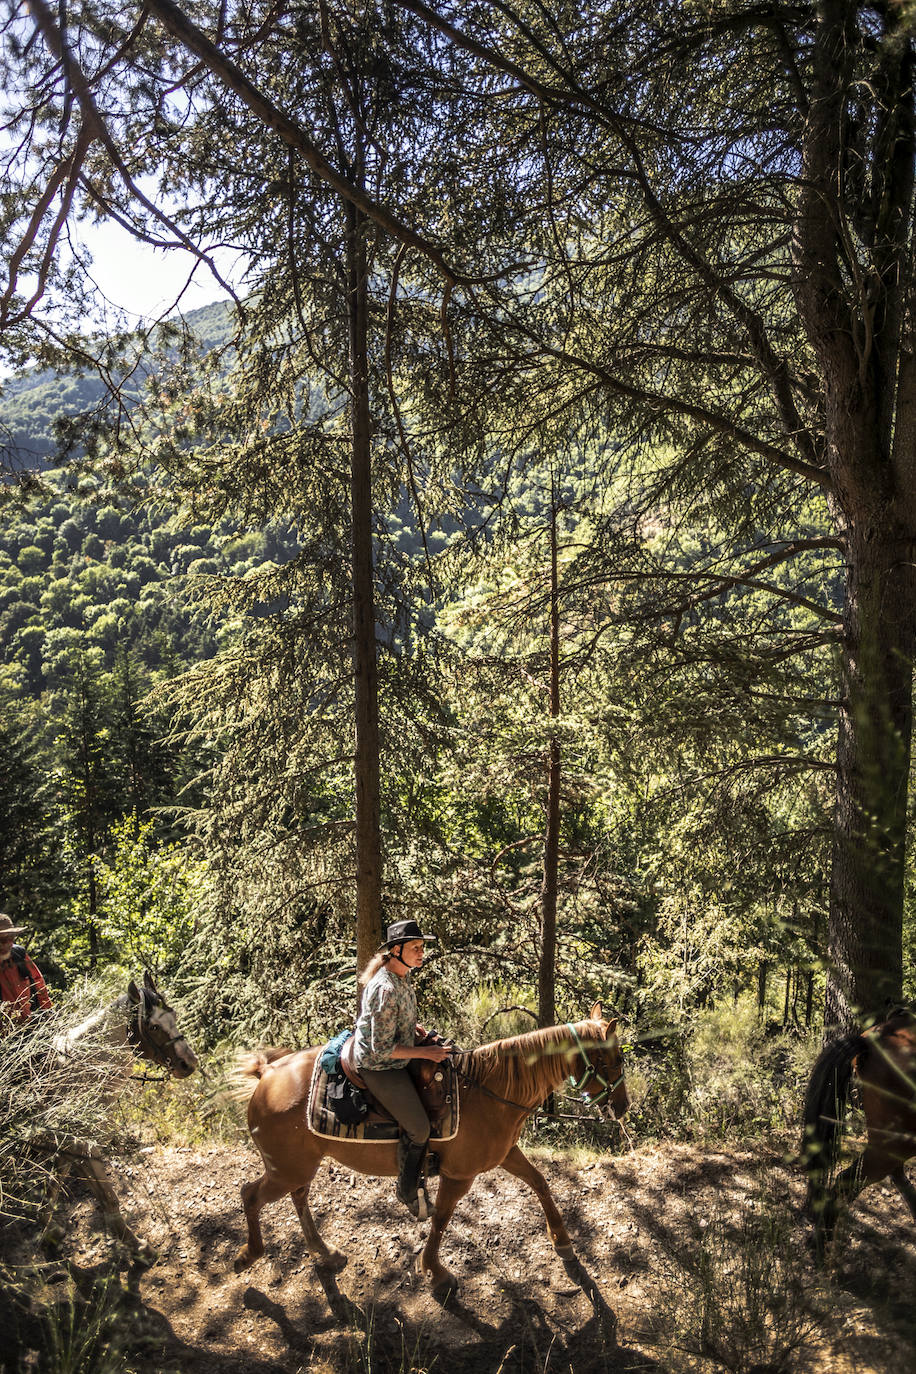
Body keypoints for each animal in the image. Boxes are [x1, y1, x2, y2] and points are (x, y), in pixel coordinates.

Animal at [233, 1005, 626, 1291]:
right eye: (617, 1060)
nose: (623, 1107)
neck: (491, 1092)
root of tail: (268, 1074)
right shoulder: (459, 1175)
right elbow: (441, 1218)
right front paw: (436, 1271)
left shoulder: (506, 1154)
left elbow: (541, 1183)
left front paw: (563, 1242)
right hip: (285, 1168)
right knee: (251, 1195)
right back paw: (248, 1254)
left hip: (298, 1167)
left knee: (298, 1198)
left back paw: (326, 1253)